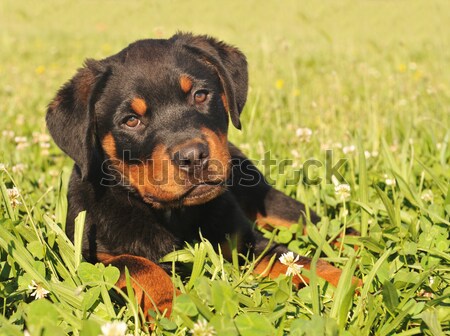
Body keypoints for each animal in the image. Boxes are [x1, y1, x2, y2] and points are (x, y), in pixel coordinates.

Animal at [48, 32, 352, 318]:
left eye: (200, 95)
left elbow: (301, 261)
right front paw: (172, 308)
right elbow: (140, 265)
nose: (193, 156)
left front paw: (351, 285)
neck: (174, 214)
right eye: (131, 120)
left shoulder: (245, 240)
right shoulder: (90, 255)